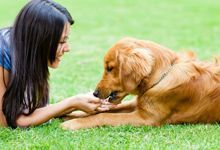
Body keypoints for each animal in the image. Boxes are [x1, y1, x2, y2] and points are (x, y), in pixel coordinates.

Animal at [61, 37, 220, 129]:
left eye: (109, 68)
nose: (94, 93)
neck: (161, 76)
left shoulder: (146, 118)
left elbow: (105, 116)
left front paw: (72, 123)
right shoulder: (138, 104)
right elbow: (106, 110)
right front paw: (72, 114)